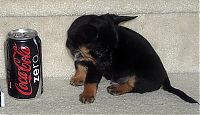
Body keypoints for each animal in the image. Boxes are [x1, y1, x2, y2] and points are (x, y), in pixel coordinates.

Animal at [66, 13, 199, 104]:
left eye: (114, 49)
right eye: (100, 52)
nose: (108, 65)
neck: (81, 50)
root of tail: (165, 79)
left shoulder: (96, 68)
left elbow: (91, 80)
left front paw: (87, 94)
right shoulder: (79, 58)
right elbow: (80, 66)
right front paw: (78, 78)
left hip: (141, 76)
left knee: (134, 86)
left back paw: (117, 89)